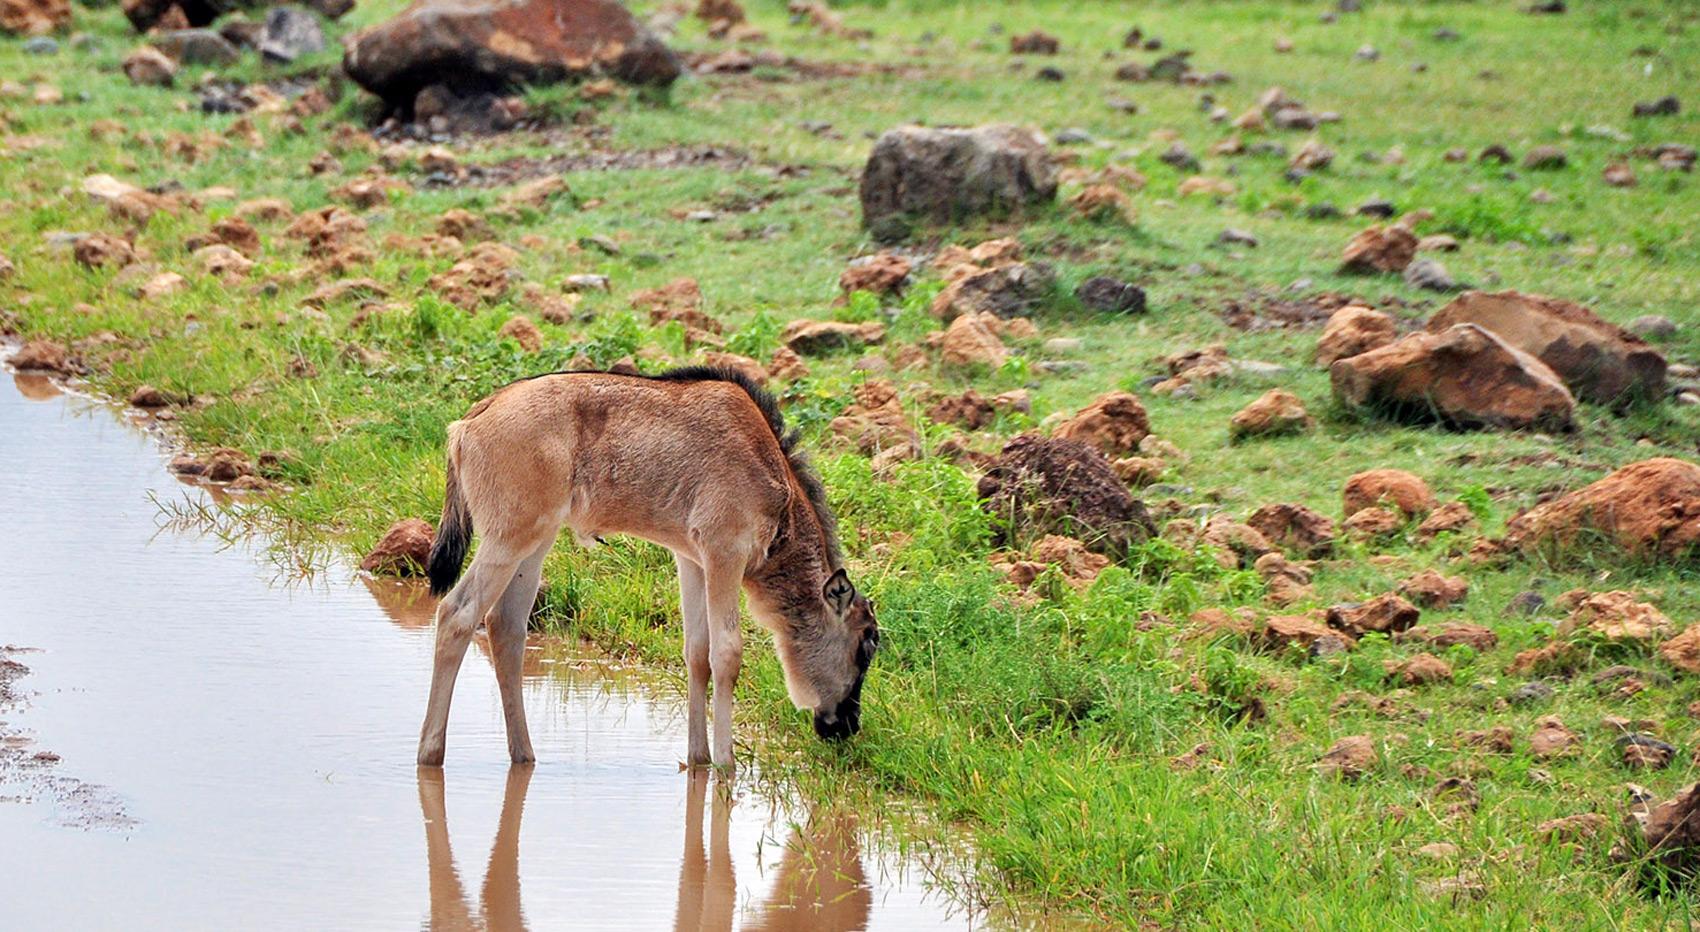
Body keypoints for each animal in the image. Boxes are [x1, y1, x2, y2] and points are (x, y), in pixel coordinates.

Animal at [420, 367, 879, 769]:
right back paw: (430, 754)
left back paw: (524, 756)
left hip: (534, 544)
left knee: (506, 627)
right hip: (507, 540)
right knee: (457, 615)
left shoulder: (692, 560)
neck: (770, 475)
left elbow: (697, 653)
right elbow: (727, 653)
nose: (848, 726)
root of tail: (468, 422)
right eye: (868, 642)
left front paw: (699, 760)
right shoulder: (725, 554)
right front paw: (726, 765)